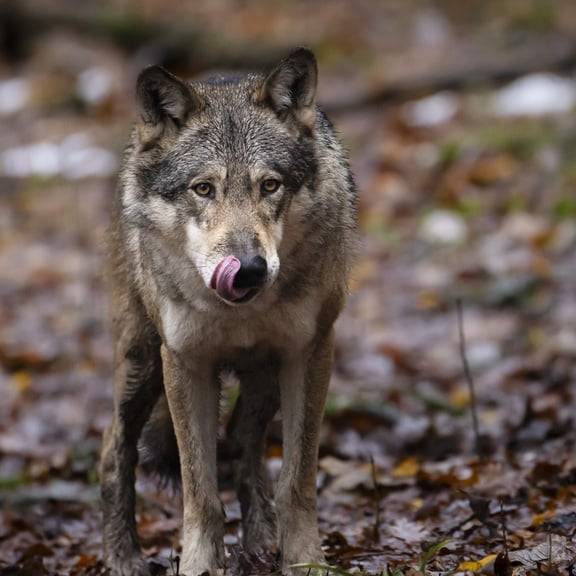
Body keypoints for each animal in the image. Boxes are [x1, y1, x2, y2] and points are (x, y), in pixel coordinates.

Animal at [101, 46, 358, 576]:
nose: (249, 270)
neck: (239, 313)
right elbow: (199, 492)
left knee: (243, 442)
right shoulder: (185, 363)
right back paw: (124, 558)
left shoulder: (309, 353)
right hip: (142, 364)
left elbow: (296, 481)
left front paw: (305, 561)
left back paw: (259, 541)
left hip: (264, 376)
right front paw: (199, 565)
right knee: (112, 450)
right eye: (203, 189)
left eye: (270, 186)